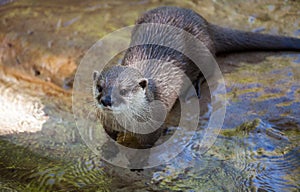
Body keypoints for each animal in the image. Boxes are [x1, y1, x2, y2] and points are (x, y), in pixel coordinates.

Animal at [92, 5, 300, 147]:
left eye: (124, 90)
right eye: (100, 87)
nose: (106, 100)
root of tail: (204, 22)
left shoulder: (154, 126)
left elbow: (147, 146)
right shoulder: (106, 124)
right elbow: (110, 139)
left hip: (203, 51)